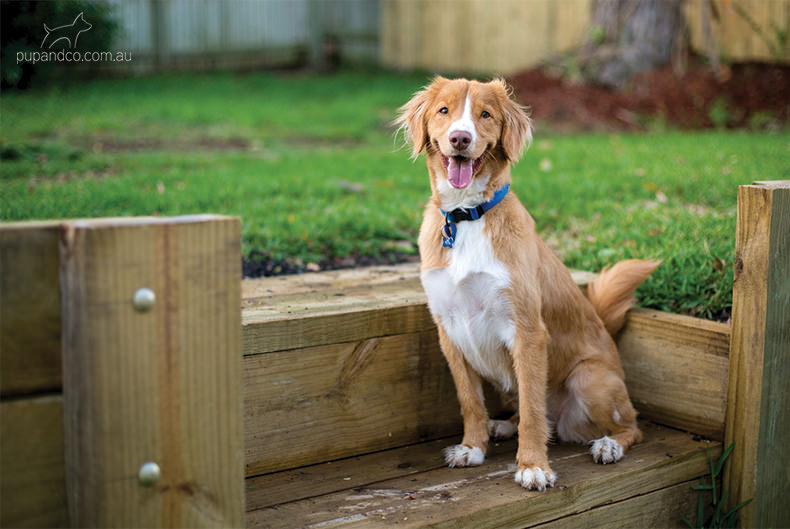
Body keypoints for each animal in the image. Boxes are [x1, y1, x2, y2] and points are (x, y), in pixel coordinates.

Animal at [396, 77, 664, 490]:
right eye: (444, 111)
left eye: (485, 114)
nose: (460, 138)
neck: (467, 215)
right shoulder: (450, 331)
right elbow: (470, 401)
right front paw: (472, 447)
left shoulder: (527, 330)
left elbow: (535, 410)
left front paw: (533, 465)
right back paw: (503, 426)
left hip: (589, 379)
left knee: (631, 427)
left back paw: (608, 445)